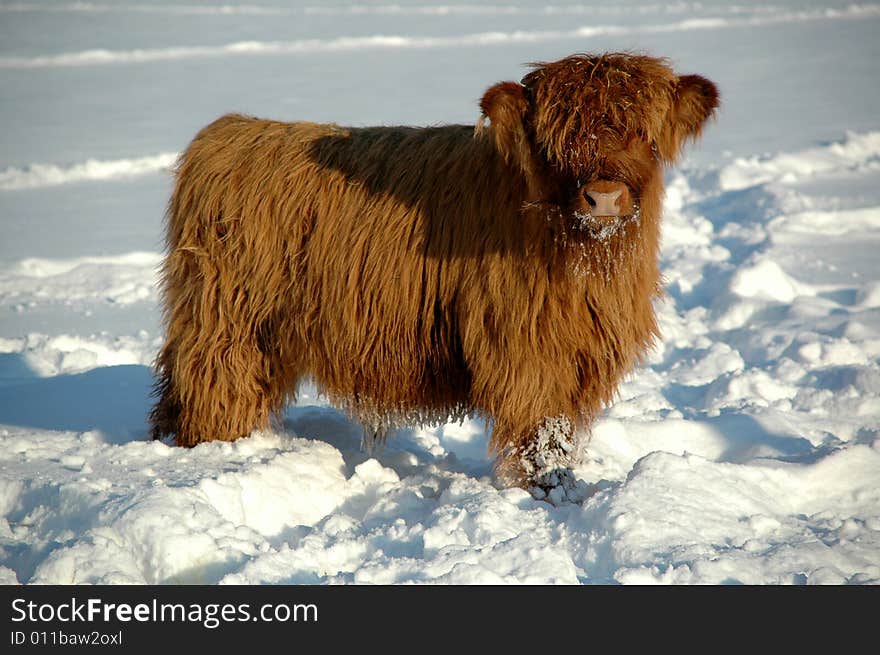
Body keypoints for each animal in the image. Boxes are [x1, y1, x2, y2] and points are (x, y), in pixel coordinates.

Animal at [150, 53, 716, 490]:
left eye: (642, 134)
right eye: (556, 138)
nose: (603, 197)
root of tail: (227, 131)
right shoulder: (526, 348)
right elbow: (540, 432)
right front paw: (550, 491)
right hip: (228, 320)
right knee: (215, 384)